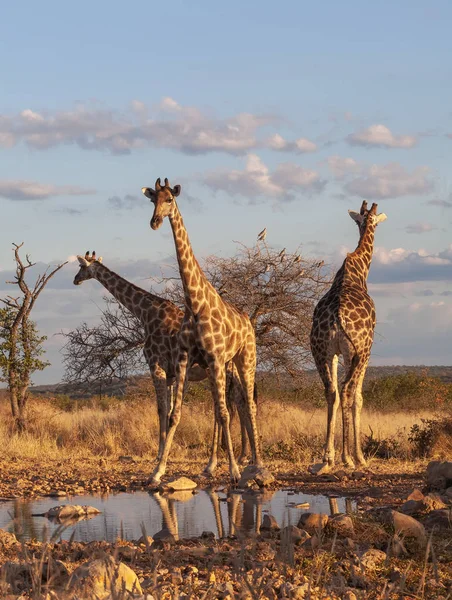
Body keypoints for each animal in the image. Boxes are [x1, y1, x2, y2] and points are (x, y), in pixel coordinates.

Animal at [141, 177, 262, 482]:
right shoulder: (185, 357)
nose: (155, 222)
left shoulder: (215, 358)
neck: (194, 304)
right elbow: (175, 414)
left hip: (245, 360)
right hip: (225, 365)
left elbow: (224, 413)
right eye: (152, 199)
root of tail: (248, 321)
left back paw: (257, 464)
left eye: (170, 199)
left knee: (249, 405)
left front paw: (233, 471)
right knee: (238, 406)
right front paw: (157, 471)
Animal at [310, 204, 388, 472]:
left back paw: (328, 457)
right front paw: (360, 457)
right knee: (345, 390)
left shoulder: (334, 353)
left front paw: (330, 455)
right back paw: (347, 457)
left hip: (319, 351)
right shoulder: (366, 351)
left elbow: (336, 394)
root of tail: (337, 317)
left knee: (331, 391)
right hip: (356, 351)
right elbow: (359, 398)